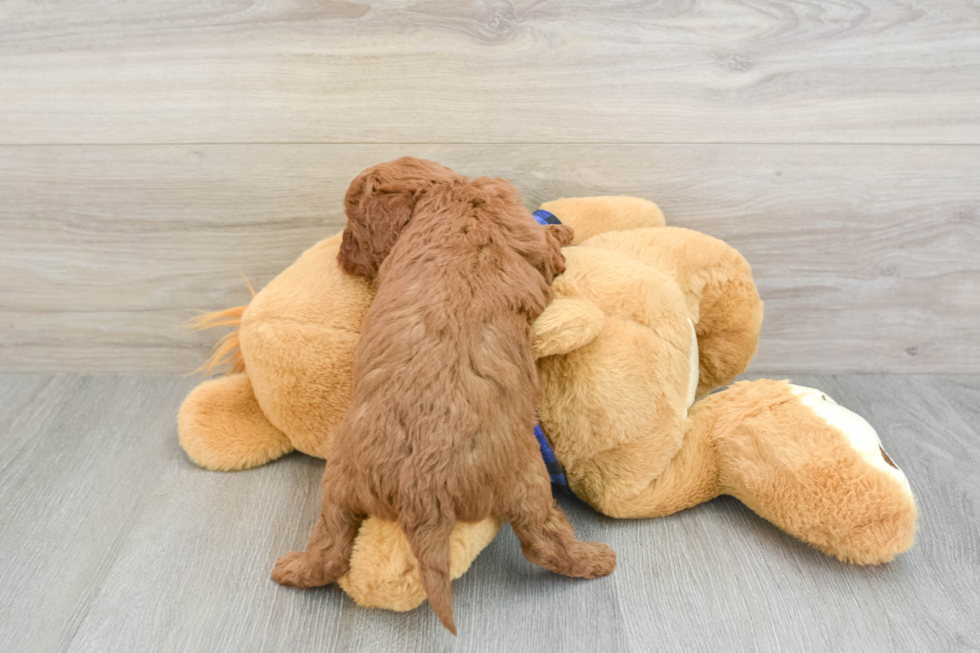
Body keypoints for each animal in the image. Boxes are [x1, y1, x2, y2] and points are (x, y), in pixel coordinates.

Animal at [272, 157, 616, 632]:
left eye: (353, 221)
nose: (340, 259)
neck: (448, 193)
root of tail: (422, 490)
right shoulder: (524, 234)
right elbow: (547, 245)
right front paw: (562, 232)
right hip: (527, 477)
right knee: (541, 539)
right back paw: (596, 560)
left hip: (339, 483)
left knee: (331, 543)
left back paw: (293, 570)